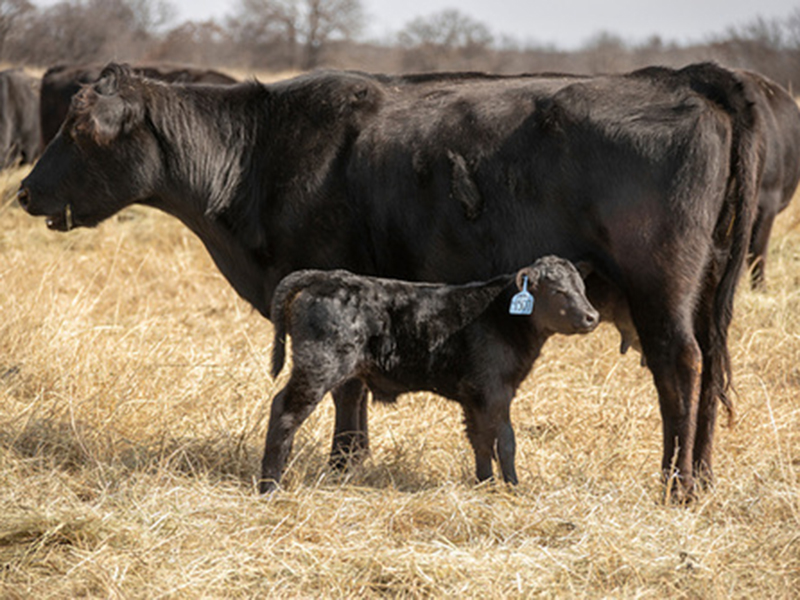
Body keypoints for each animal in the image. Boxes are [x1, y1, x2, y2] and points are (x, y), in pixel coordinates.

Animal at [262, 256, 599, 491]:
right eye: (558, 291)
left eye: (582, 289)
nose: (592, 316)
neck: (503, 317)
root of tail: (325, 276)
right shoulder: (495, 390)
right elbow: (505, 439)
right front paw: (514, 487)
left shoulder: (474, 395)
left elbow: (480, 439)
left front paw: (486, 484)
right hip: (318, 366)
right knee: (285, 411)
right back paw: (271, 484)